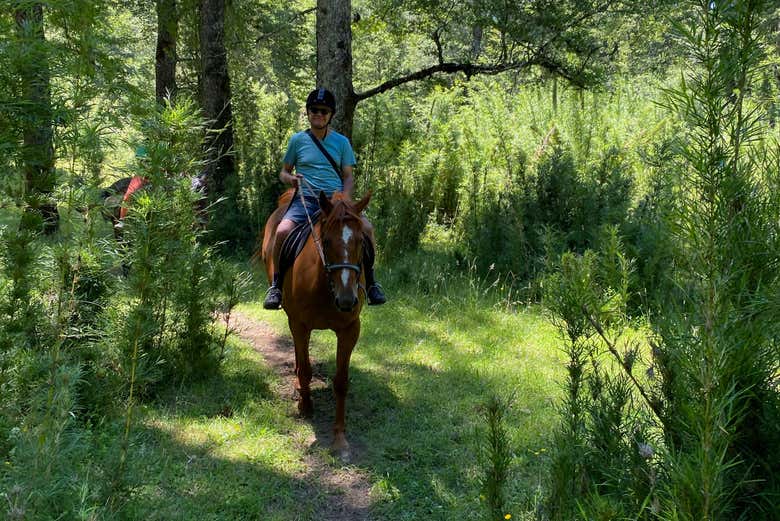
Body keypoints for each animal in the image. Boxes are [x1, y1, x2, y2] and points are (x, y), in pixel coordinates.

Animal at [261, 189, 371, 459]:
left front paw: (339, 437)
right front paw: (306, 406)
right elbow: (306, 370)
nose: (347, 299)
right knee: (300, 356)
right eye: (327, 242)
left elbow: (341, 381)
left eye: (361, 242)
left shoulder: (350, 330)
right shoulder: (300, 324)